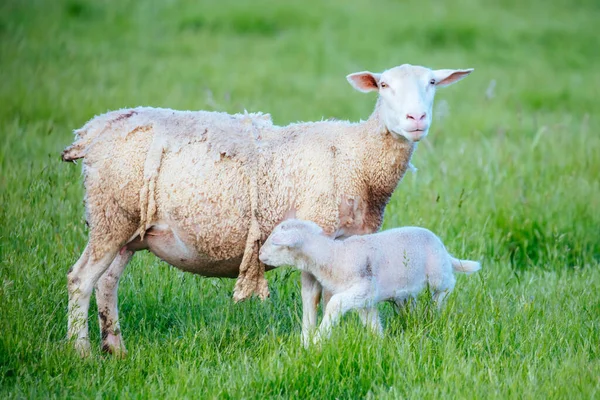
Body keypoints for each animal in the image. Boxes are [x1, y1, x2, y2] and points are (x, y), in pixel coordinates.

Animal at [258, 219, 482, 344]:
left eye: (275, 242)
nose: (259, 254)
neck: (334, 256)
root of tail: (444, 249)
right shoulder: (364, 300)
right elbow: (372, 323)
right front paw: (380, 343)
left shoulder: (363, 288)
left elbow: (334, 304)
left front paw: (318, 338)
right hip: (406, 292)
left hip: (438, 275)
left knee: (448, 285)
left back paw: (436, 305)